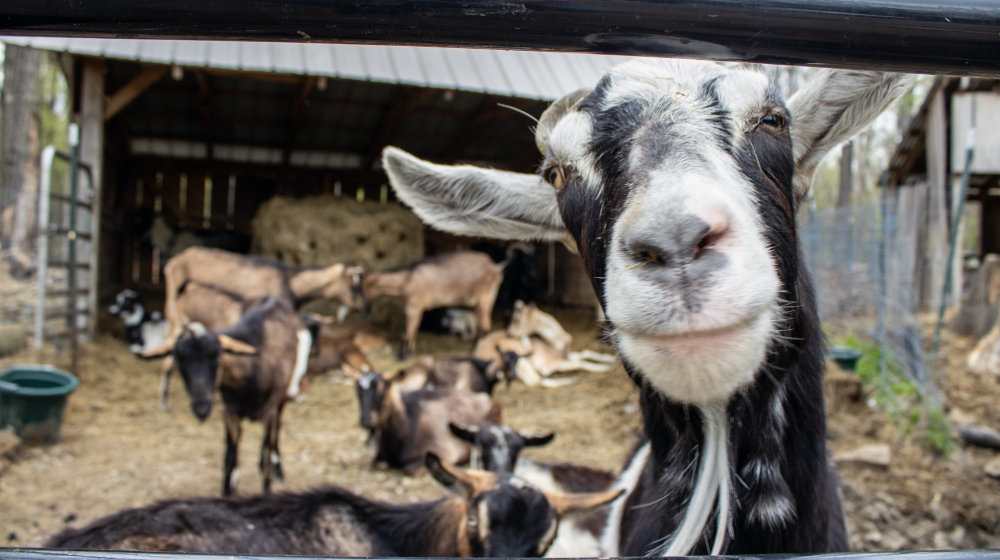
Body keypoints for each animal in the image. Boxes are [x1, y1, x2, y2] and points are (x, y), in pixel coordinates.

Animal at [141, 298, 304, 494]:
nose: (201, 406)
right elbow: (230, 461)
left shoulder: (269, 411)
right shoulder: (230, 412)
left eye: (218, 356)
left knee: (276, 432)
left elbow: (267, 461)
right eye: (180, 361)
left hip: (280, 399)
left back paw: (278, 469)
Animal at [362, 250, 508, 358]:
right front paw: (409, 353)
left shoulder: (414, 307)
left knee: (486, 325)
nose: (364, 308)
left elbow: (408, 331)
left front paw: (402, 356)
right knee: (481, 324)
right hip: (477, 301)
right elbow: (412, 330)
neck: (408, 279)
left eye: (361, 287)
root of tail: (496, 266)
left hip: (486, 297)